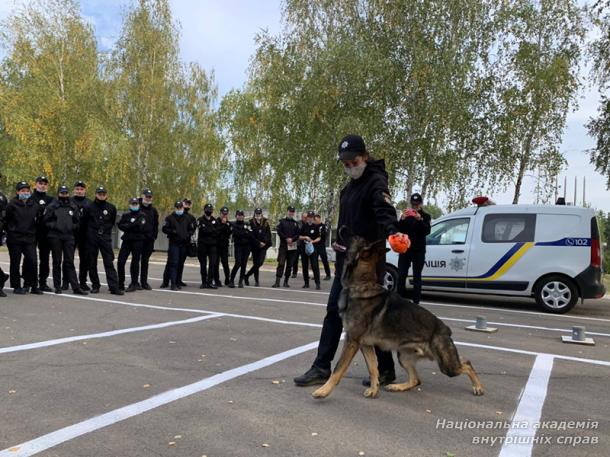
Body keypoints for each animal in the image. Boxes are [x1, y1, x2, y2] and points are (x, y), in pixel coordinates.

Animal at [312, 237, 482, 398]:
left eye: (354, 236)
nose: (338, 231)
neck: (361, 285)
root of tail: (445, 329)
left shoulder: (351, 342)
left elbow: (338, 369)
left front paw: (323, 391)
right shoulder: (366, 345)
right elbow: (373, 368)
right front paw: (374, 390)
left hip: (447, 366)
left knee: (467, 364)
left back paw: (478, 387)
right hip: (404, 357)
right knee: (416, 379)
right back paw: (397, 387)